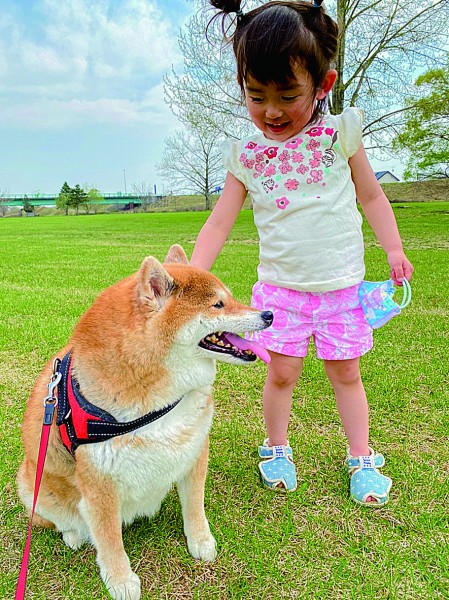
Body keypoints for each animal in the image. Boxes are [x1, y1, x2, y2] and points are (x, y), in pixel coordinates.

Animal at [16, 244, 270, 600]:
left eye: (230, 298)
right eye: (218, 304)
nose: (269, 315)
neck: (161, 395)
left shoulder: (193, 447)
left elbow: (195, 506)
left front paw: (200, 541)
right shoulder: (98, 482)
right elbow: (109, 537)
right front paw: (120, 579)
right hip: (30, 484)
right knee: (58, 520)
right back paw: (73, 535)